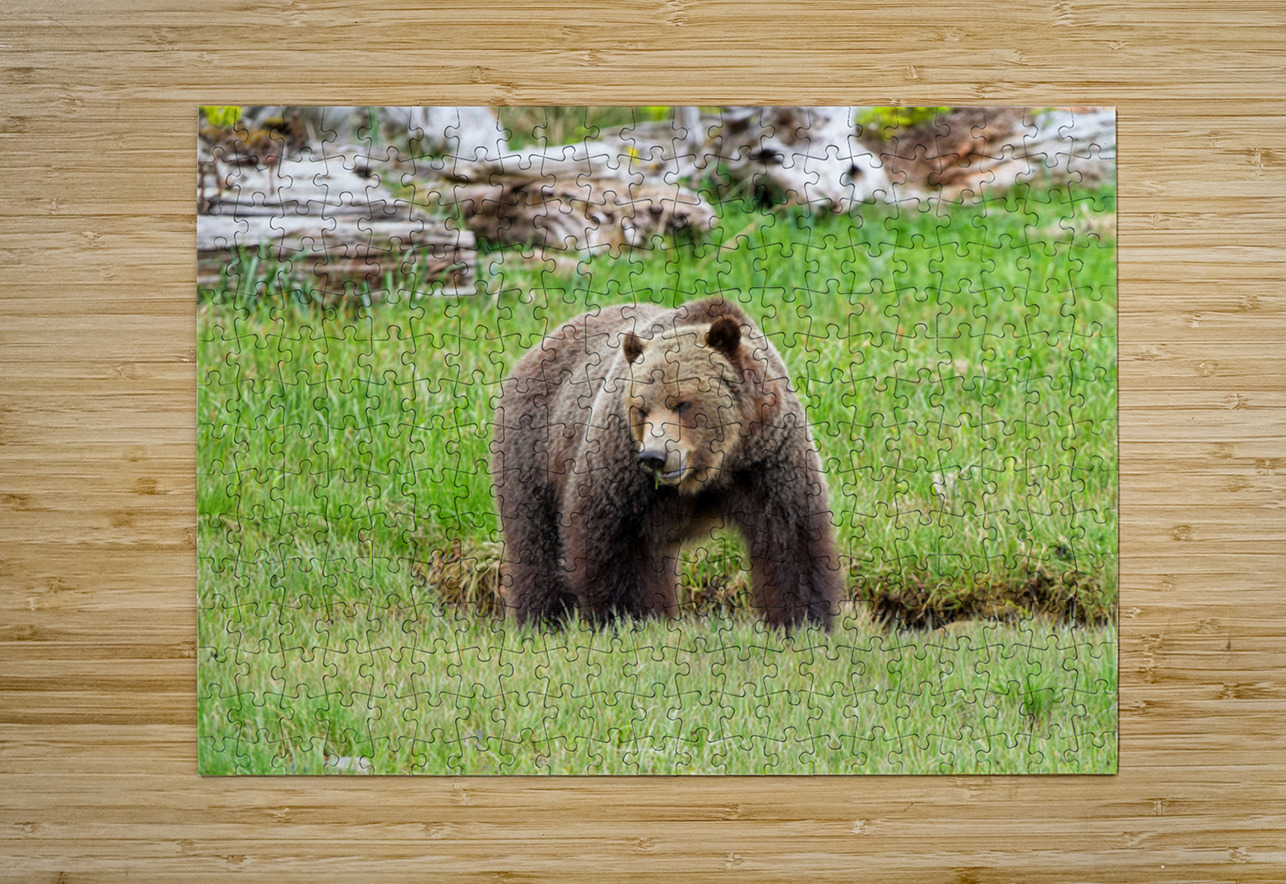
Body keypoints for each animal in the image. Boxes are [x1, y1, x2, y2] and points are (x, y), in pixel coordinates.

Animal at [491, 297, 842, 630]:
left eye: (682, 403)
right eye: (641, 408)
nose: (655, 456)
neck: (715, 466)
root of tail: (536, 349)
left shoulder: (768, 460)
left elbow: (791, 543)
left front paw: (804, 620)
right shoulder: (622, 467)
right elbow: (608, 541)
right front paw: (626, 617)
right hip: (533, 447)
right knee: (535, 545)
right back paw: (542, 620)